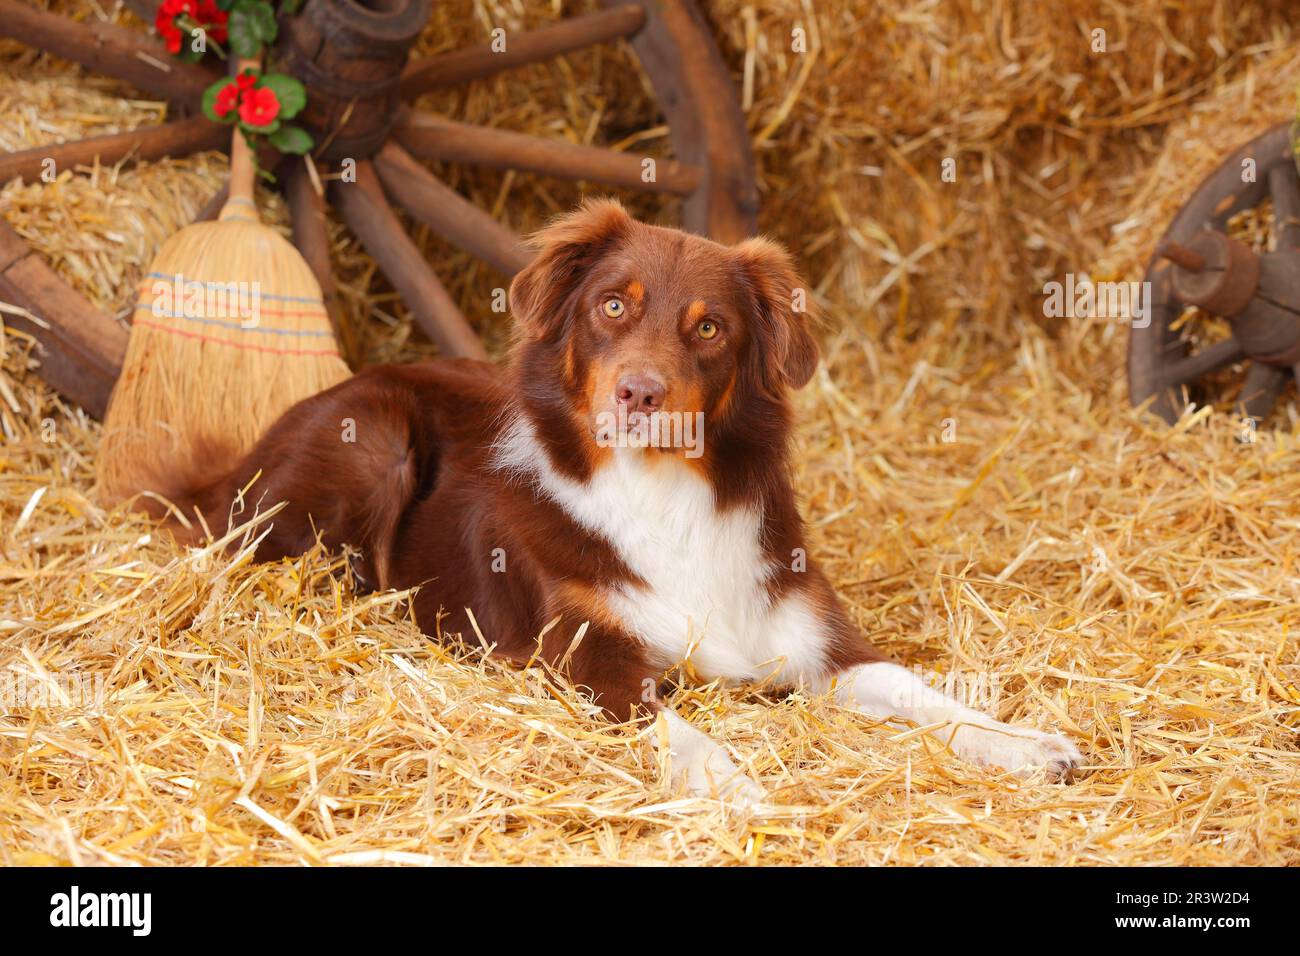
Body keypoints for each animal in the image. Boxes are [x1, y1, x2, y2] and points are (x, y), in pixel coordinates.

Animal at [178, 200, 1081, 806]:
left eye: (710, 328)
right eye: (612, 305)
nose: (639, 393)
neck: (661, 491)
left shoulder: (818, 643)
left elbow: (915, 688)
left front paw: (1021, 741)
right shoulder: (586, 659)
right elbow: (673, 724)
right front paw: (731, 785)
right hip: (375, 437)